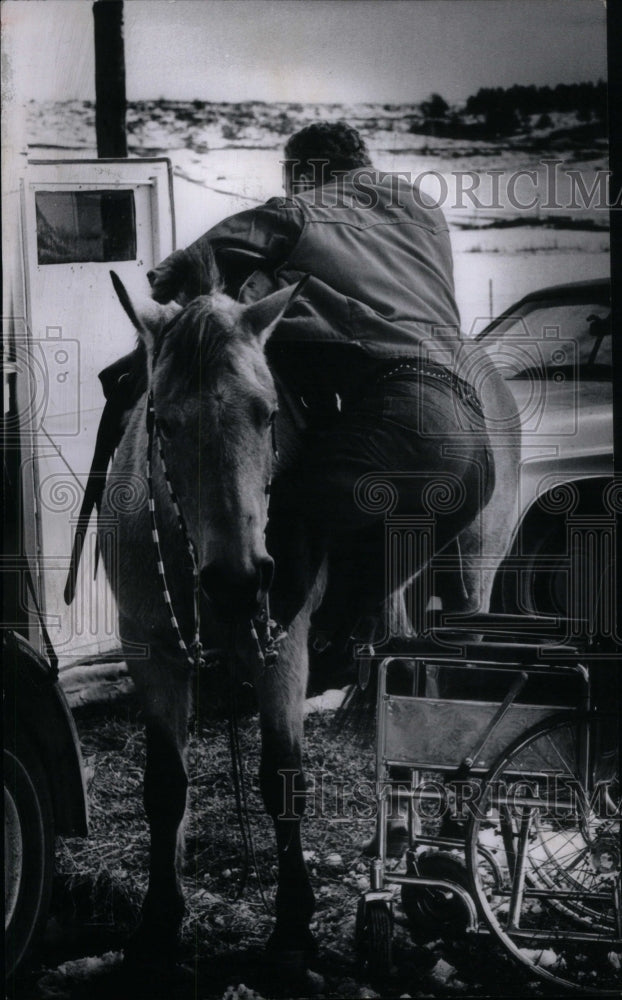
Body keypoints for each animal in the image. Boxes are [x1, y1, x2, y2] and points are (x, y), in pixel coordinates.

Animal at [101, 254, 520, 980]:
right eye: (164, 421)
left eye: (267, 413)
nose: (239, 579)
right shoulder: (149, 652)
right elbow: (165, 787)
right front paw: (157, 922)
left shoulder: (283, 651)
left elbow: (282, 779)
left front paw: (293, 925)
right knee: (408, 683)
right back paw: (402, 828)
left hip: (470, 583)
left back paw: (447, 839)